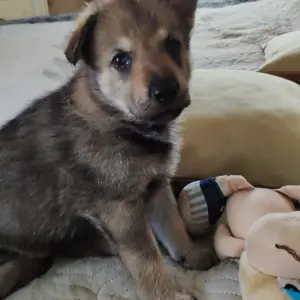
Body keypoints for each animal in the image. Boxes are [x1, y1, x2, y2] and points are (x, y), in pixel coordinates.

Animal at [0, 1, 214, 298]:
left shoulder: (157, 187)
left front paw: (193, 256)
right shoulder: (121, 210)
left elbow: (175, 226)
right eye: (120, 60)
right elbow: (148, 262)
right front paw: (166, 294)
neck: (117, 118)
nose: (166, 90)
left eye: (173, 45)